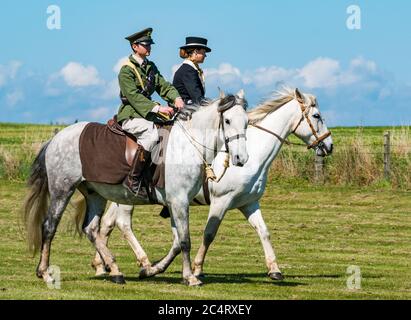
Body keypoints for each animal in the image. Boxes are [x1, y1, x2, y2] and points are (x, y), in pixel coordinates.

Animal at [22, 90, 249, 288]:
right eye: (227, 121)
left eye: (246, 122)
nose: (241, 158)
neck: (186, 146)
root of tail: (56, 138)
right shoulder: (179, 201)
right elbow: (184, 241)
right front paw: (190, 278)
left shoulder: (175, 203)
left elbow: (177, 242)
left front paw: (151, 270)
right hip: (63, 189)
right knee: (50, 226)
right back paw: (45, 273)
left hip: (95, 194)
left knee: (91, 229)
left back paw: (115, 271)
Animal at [91, 87, 334, 280]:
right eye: (317, 115)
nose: (329, 145)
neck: (253, 154)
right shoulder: (220, 201)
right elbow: (207, 234)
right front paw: (195, 269)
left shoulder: (249, 203)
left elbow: (263, 231)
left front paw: (274, 269)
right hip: (128, 198)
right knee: (122, 224)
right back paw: (139, 262)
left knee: (107, 224)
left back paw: (103, 265)